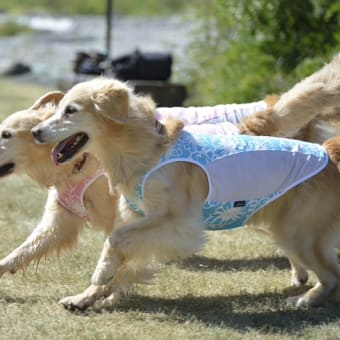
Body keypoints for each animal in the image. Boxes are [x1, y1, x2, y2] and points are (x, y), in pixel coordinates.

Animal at [31, 53, 340, 310]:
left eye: (70, 110)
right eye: (58, 109)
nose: (35, 132)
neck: (145, 151)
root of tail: (328, 154)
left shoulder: (177, 222)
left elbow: (115, 239)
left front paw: (102, 272)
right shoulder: (139, 219)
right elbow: (122, 255)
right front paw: (86, 296)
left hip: (297, 234)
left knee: (332, 276)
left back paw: (304, 299)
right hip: (286, 230)